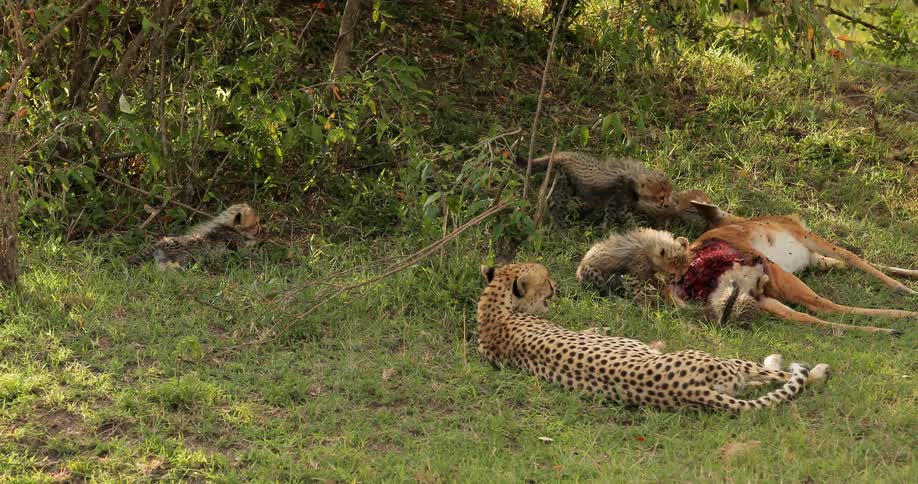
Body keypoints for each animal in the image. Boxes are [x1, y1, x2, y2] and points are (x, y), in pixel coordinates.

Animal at [128, 203, 263, 269]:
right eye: (256, 223)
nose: (261, 230)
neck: (227, 226)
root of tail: (158, 245)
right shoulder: (239, 247)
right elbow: (248, 252)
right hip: (184, 257)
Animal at [477, 263, 830, 411]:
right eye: (547, 280)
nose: (557, 287)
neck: (493, 311)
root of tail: (688, 389)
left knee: (760, 384)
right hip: (724, 360)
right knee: (783, 376)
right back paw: (812, 369)